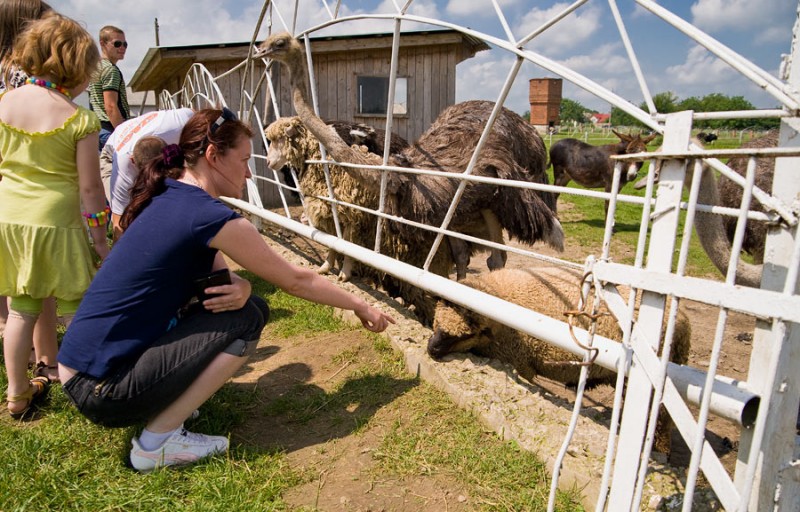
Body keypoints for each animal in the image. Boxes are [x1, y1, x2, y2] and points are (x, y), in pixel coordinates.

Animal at [428, 268, 692, 452]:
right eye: (437, 319)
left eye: (464, 335)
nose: (431, 349)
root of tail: (683, 319)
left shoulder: (520, 362)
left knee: (660, 424)